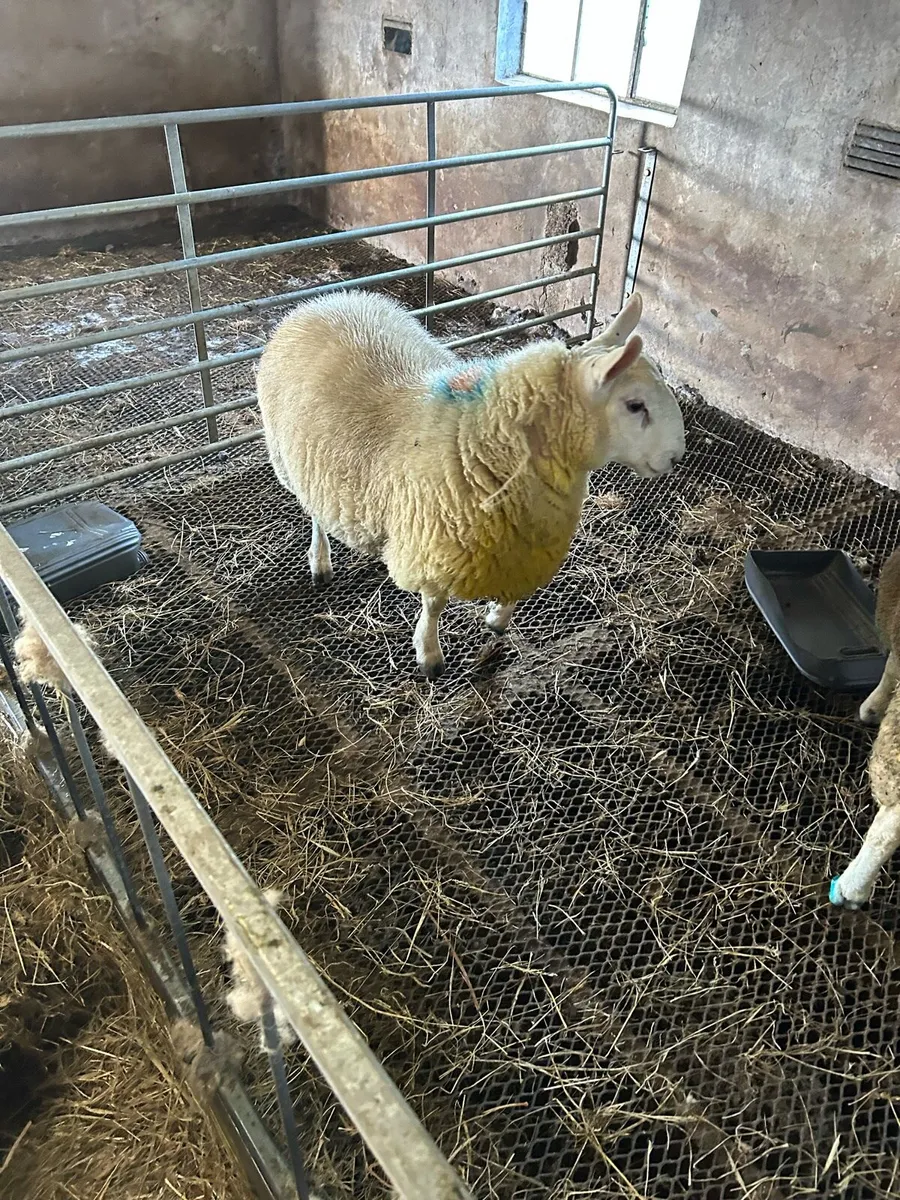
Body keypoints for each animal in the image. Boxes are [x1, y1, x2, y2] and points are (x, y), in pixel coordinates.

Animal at [256, 288, 685, 677]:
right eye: (635, 405)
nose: (676, 455)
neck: (478, 436)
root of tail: (325, 300)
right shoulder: (435, 544)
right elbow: (433, 605)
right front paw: (428, 654)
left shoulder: (524, 541)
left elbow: (515, 593)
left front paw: (497, 619)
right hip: (293, 460)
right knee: (314, 513)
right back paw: (320, 561)